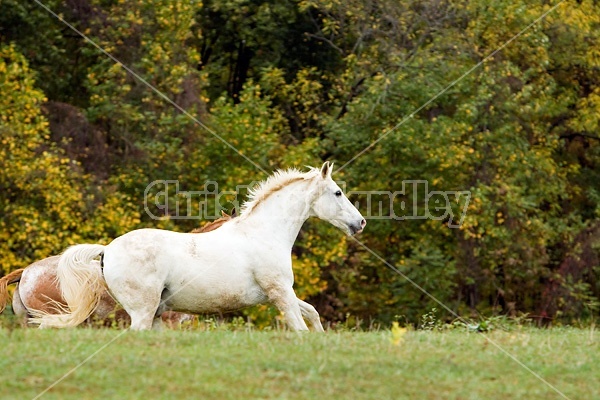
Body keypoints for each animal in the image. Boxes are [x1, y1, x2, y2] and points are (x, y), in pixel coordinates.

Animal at [31, 162, 366, 332]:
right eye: (337, 192)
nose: (360, 222)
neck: (263, 234)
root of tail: (107, 249)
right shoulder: (280, 292)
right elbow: (301, 327)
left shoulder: (280, 295)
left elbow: (313, 315)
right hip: (143, 311)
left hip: (154, 314)